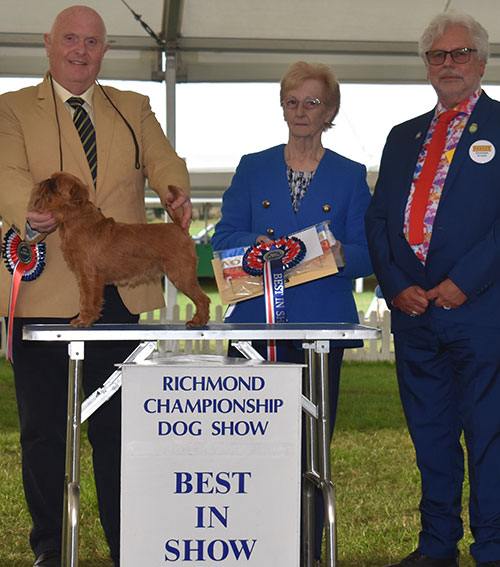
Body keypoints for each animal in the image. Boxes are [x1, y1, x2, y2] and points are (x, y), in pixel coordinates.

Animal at [29, 171, 210, 328]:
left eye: (54, 185)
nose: (45, 180)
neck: (77, 219)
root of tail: (180, 227)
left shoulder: (87, 275)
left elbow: (86, 299)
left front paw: (83, 320)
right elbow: (93, 300)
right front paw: (90, 319)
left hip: (182, 275)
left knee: (203, 299)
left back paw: (198, 321)